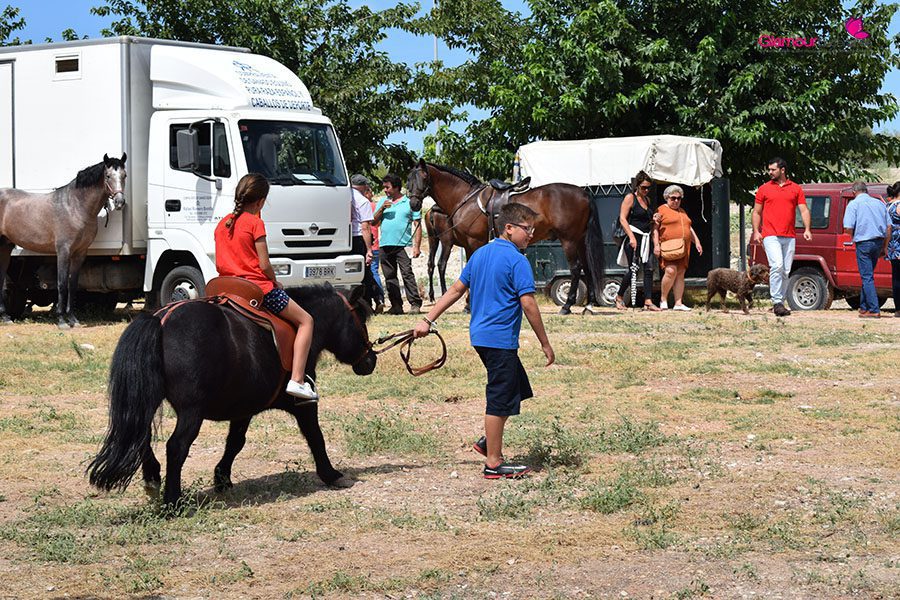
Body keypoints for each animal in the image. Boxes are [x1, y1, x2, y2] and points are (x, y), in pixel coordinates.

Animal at [0, 154, 127, 327]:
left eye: (124, 175)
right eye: (108, 176)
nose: (120, 202)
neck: (75, 206)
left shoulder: (80, 253)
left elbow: (72, 284)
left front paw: (73, 319)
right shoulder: (63, 251)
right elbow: (61, 284)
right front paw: (61, 320)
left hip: (5, 247)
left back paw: (5, 317)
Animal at [87, 284, 377, 506]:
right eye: (360, 321)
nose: (370, 360)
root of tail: (161, 319)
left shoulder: (244, 407)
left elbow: (235, 442)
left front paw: (222, 478)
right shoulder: (302, 404)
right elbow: (316, 436)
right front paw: (330, 474)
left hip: (148, 401)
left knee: (141, 436)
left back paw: (152, 480)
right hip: (192, 412)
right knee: (176, 447)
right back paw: (173, 500)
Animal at [407, 159, 604, 314]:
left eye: (423, 178)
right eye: (409, 180)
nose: (414, 204)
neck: (465, 199)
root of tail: (584, 193)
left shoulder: (473, 242)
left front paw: (469, 305)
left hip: (569, 240)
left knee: (576, 268)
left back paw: (567, 306)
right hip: (580, 240)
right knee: (587, 267)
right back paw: (589, 305)